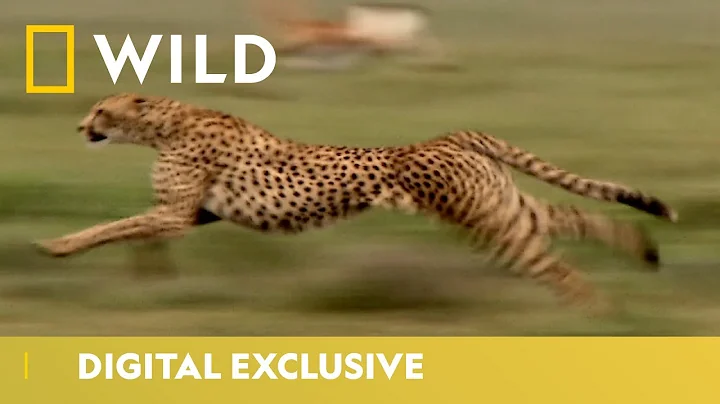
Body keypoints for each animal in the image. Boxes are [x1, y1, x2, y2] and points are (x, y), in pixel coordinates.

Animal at [33, 93, 678, 313]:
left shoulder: (177, 212)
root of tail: (453, 134)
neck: (165, 122)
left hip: (489, 224)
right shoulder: (191, 215)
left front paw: (55, 245)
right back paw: (643, 254)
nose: (79, 127)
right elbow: (133, 231)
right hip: (502, 207)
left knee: (552, 264)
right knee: (577, 218)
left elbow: (115, 226)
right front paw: (148, 277)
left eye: (100, 109)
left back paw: (594, 316)